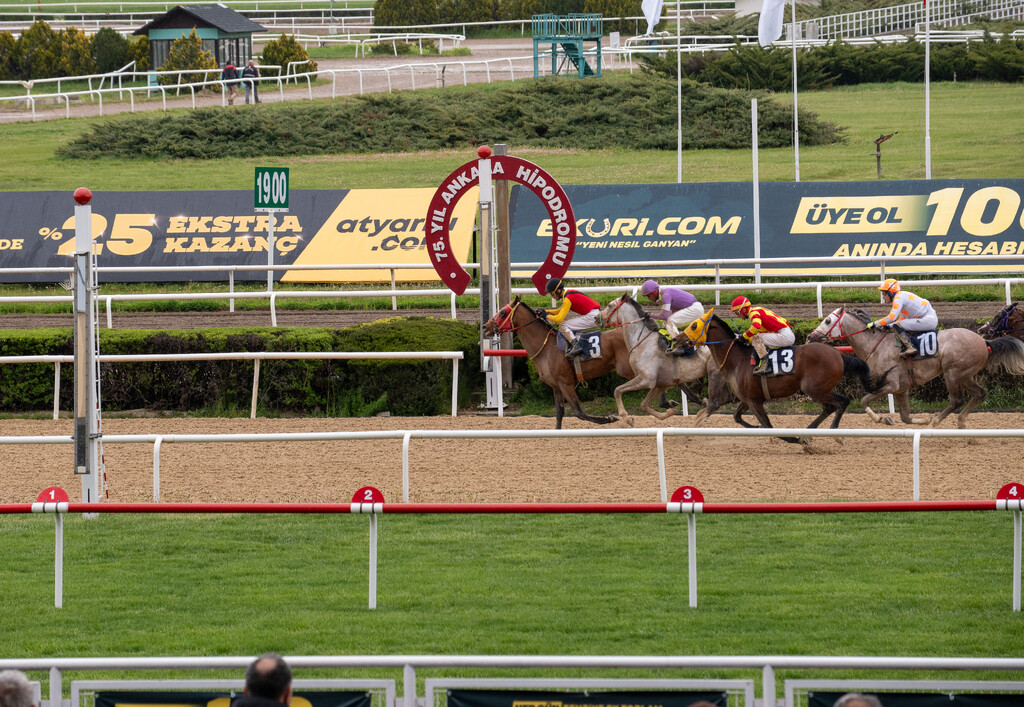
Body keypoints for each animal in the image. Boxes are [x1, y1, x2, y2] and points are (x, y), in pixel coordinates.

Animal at [483, 295, 634, 429]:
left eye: (502, 312)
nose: (485, 326)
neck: (547, 347)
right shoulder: (556, 386)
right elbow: (559, 413)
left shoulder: (566, 384)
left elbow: (579, 412)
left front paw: (610, 418)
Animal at [600, 294, 733, 427]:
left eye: (609, 305)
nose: (597, 318)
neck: (643, 342)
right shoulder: (662, 383)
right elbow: (644, 405)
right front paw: (669, 412)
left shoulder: (646, 379)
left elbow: (617, 390)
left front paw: (627, 418)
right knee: (725, 399)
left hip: (714, 373)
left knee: (716, 401)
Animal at [685, 311, 882, 444]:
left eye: (693, 325)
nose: (680, 339)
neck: (738, 359)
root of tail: (838, 354)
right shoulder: (749, 398)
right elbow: (737, 417)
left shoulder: (754, 401)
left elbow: (768, 426)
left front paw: (790, 438)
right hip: (819, 389)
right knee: (829, 407)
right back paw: (807, 435)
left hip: (815, 389)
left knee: (842, 402)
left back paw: (833, 435)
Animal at [808, 306, 1024, 428]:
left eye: (827, 320)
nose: (811, 336)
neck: (876, 344)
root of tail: (983, 340)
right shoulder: (901, 390)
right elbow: (905, 417)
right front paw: (921, 420)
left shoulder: (891, 385)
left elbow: (864, 401)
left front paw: (884, 419)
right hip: (965, 375)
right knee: (979, 393)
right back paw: (960, 422)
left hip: (952, 373)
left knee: (957, 400)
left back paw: (937, 421)